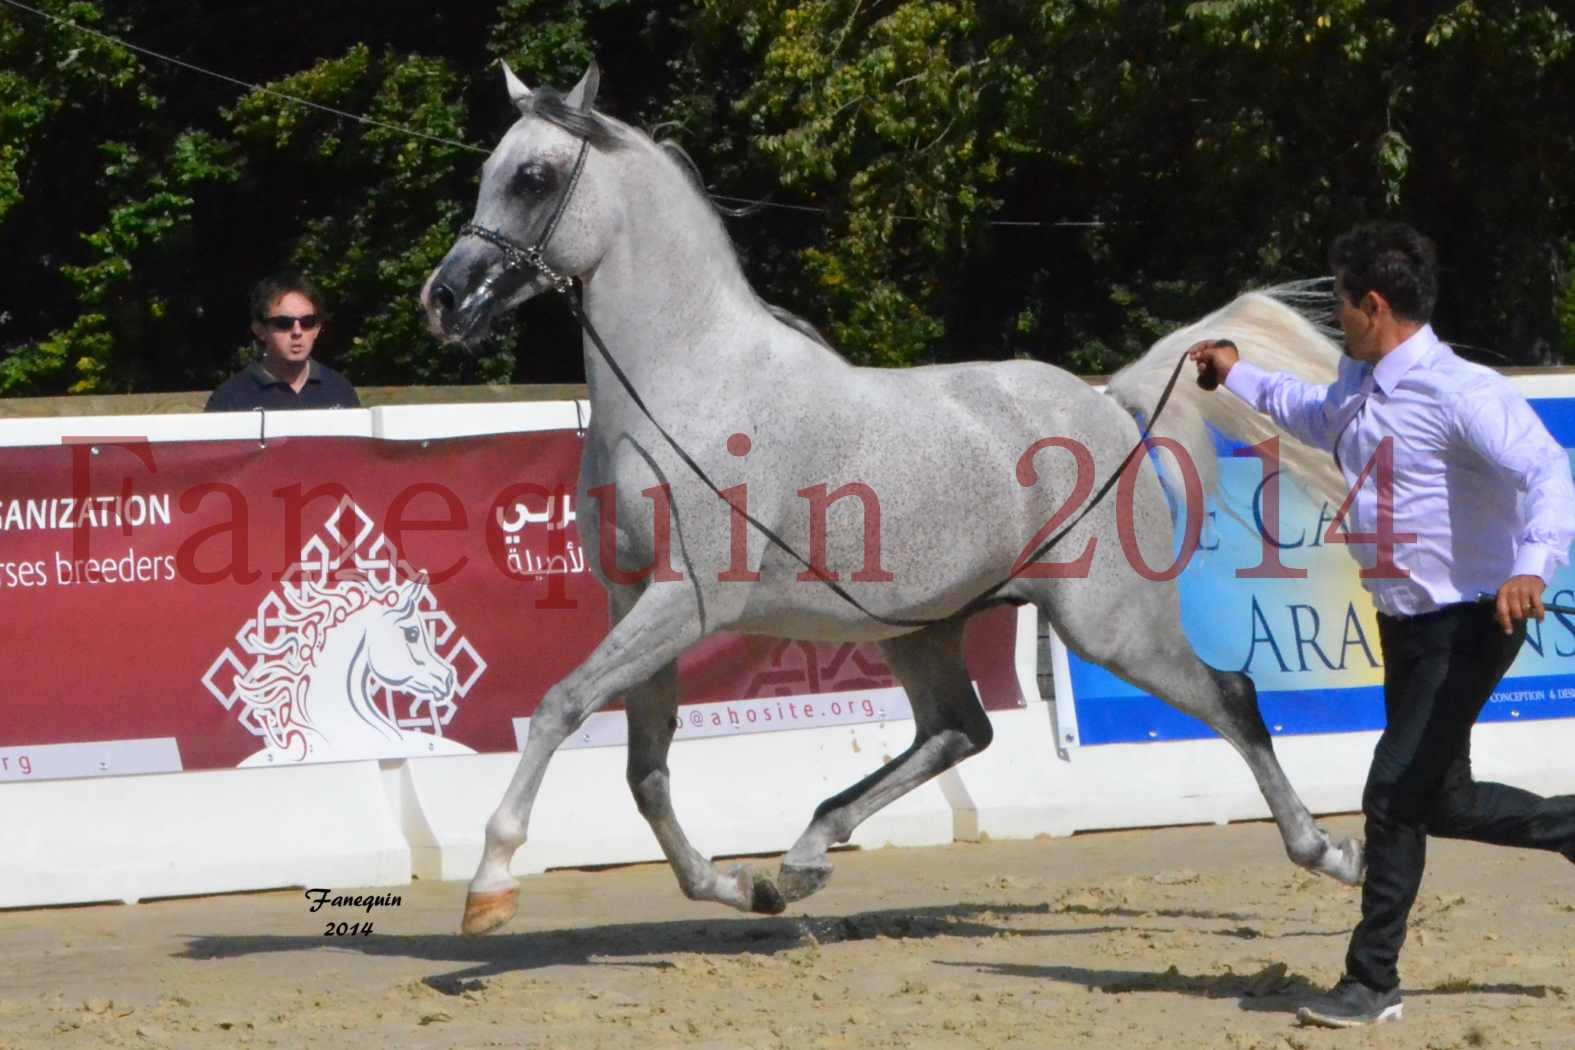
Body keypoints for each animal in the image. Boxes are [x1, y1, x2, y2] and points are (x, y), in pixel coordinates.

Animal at [425, 63, 1360, 938]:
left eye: (534, 177)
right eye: (487, 170)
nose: (444, 299)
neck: (688, 383)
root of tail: (1109, 402)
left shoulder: (685, 603)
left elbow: (559, 706)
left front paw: (490, 887)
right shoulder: (634, 600)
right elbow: (644, 771)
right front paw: (737, 887)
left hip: (1110, 627)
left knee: (1230, 699)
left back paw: (1330, 855)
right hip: (919, 627)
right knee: (961, 728)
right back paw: (801, 859)